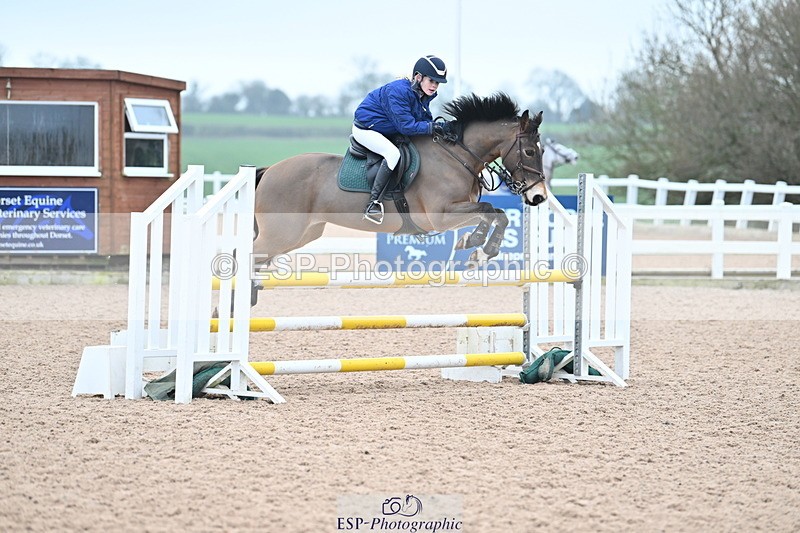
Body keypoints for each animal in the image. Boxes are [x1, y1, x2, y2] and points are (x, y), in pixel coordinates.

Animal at [251, 93, 547, 272]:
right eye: (529, 152)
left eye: (542, 151)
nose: (539, 196)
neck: (456, 155)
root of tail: (269, 171)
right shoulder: (440, 216)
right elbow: (489, 211)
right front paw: (476, 245)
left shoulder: (454, 213)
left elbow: (497, 214)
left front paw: (477, 249)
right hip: (280, 234)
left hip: (300, 235)